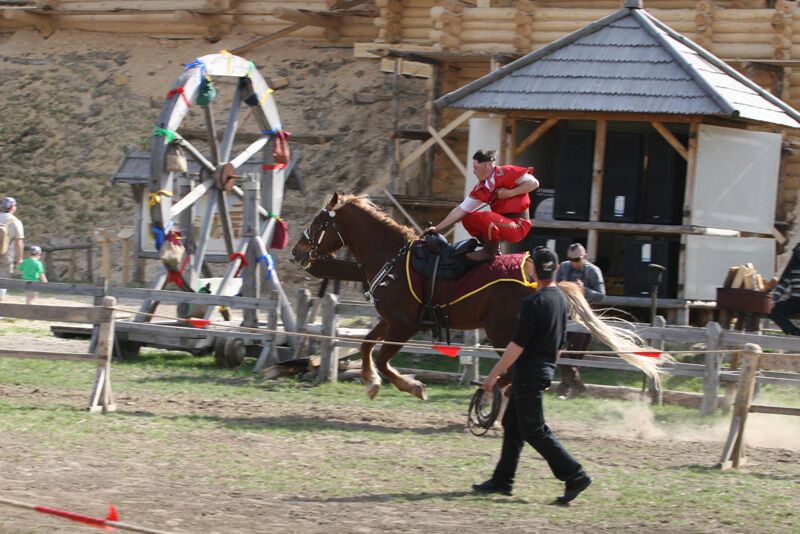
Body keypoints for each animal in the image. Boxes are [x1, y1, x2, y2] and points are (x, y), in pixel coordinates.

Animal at [290, 194, 664, 402]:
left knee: (514, 374)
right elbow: (367, 345)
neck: (392, 257)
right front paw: (371, 384)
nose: (297, 252)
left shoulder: (404, 324)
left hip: (502, 334)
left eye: (320, 221)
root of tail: (544, 280)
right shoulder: (390, 320)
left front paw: (412, 386)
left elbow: (382, 357)